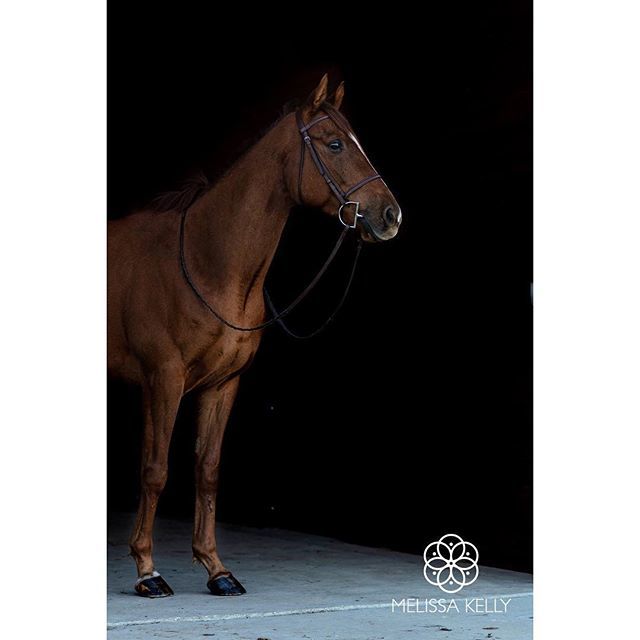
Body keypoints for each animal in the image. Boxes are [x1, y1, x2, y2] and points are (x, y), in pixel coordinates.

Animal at [108, 76, 402, 600]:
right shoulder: (162, 380)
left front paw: (216, 569)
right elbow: (155, 470)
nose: (390, 215)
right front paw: (147, 571)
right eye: (335, 143)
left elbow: (207, 470)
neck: (206, 262)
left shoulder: (222, 385)